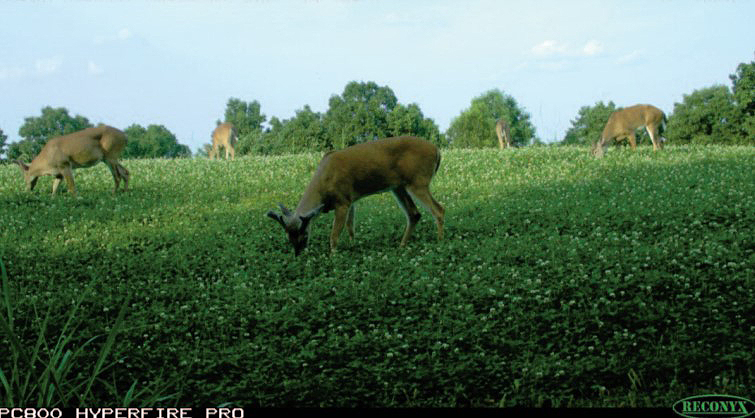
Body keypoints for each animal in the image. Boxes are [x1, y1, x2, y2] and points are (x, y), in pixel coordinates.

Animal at [268, 136, 446, 256]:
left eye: (304, 235)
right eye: (288, 237)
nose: (298, 253)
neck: (323, 182)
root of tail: (437, 151)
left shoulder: (342, 201)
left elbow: (334, 235)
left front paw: (333, 256)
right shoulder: (351, 199)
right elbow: (350, 227)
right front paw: (353, 246)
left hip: (418, 181)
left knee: (439, 209)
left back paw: (439, 242)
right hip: (399, 187)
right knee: (414, 214)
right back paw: (401, 246)